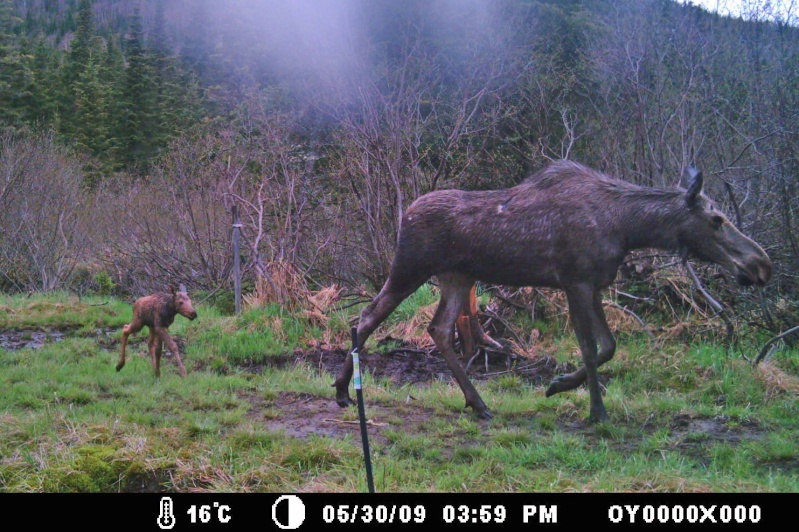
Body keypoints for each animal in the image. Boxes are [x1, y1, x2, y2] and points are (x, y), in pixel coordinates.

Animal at [334, 160, 772, 422]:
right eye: (717, 219)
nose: (761, 265)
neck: (628, 229)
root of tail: (404, 215)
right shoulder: (574, 280)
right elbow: (591, 348)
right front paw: (596, 411)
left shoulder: (593, 283)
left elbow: (608, 346)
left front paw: (559, 385)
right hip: (410, 267)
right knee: (367, 315)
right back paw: (342, 391)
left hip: (457, 277)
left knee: (438, 329)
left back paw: (477, 402)